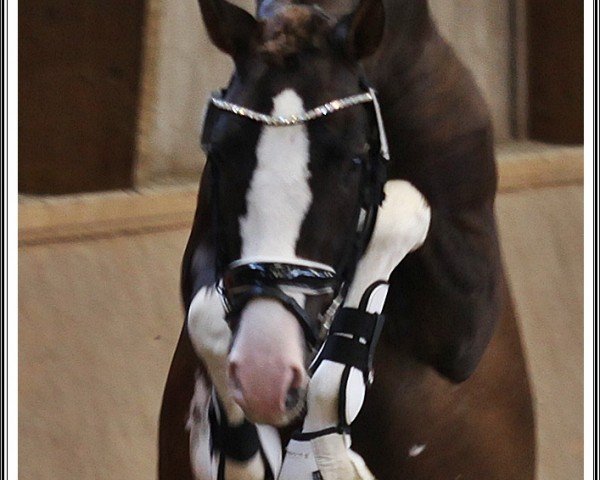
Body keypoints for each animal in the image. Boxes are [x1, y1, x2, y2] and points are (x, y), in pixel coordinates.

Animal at [157, 0, 536, 478]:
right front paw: (244, 451)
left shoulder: (466, 323)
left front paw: (328, 456)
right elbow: (205, 313)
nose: (267, 373)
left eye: (354, 159)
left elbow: (401, 209)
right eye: (220, 152)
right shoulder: (212, 249)